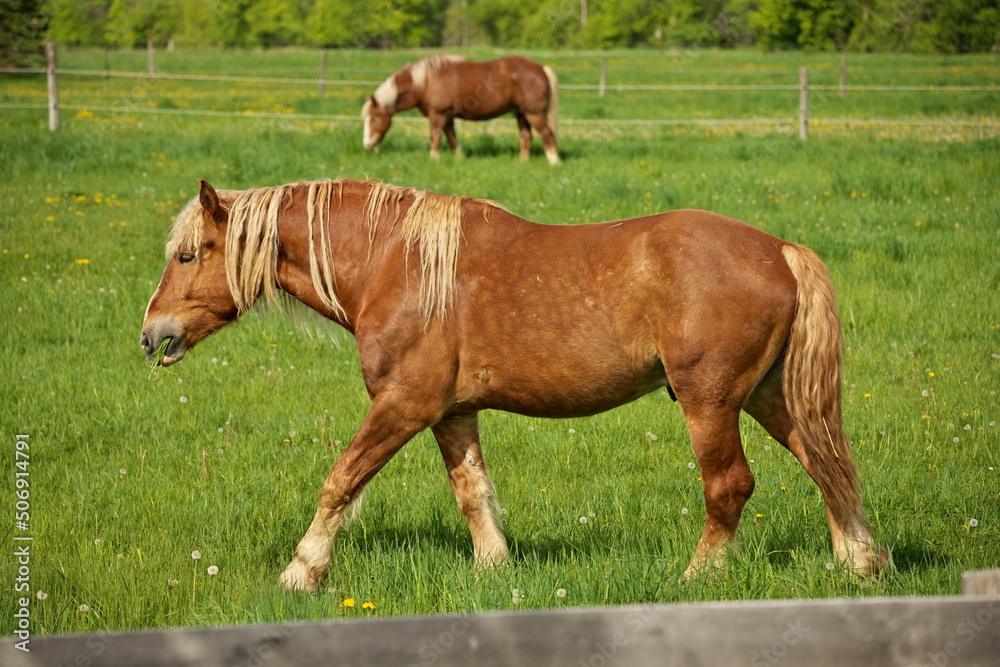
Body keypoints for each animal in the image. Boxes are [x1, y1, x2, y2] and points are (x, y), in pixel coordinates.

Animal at [141, 178, 888, 592]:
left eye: (188, 255)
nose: (152, 335)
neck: (394, 261)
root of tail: (779, 250)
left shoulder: (402, 406)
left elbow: (340, 481)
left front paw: (302, 571)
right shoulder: (451, 412)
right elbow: (473, 493)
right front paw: (495, 571)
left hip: (711, 402)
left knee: (730, 485)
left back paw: (697, 578)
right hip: (769, 397)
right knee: (827, 465)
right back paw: (861, 564)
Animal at [361, 54, 561, 165]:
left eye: (373, 118)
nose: (367, 145)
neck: (425, 81)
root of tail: (540, 68)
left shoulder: (437, 115)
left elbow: (435, 138)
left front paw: (434, 159)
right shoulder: (448, 118)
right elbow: (452, 139)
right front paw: (459, 158)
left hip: (534, 114)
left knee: (546, 134)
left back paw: (554, 162)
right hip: (521, 114)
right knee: (526, 137)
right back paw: (522, 162)